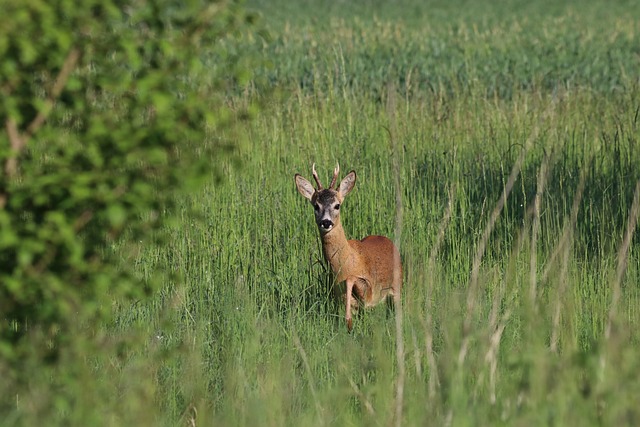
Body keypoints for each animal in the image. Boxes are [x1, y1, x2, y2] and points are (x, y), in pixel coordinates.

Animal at [294, 162, 400, 332]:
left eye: (337, 205)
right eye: (316, 206)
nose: (326, 222)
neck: (346, 263)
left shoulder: (369, 289)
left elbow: (352, 281)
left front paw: (348, 321)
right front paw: (349, 321)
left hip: (397, 286)